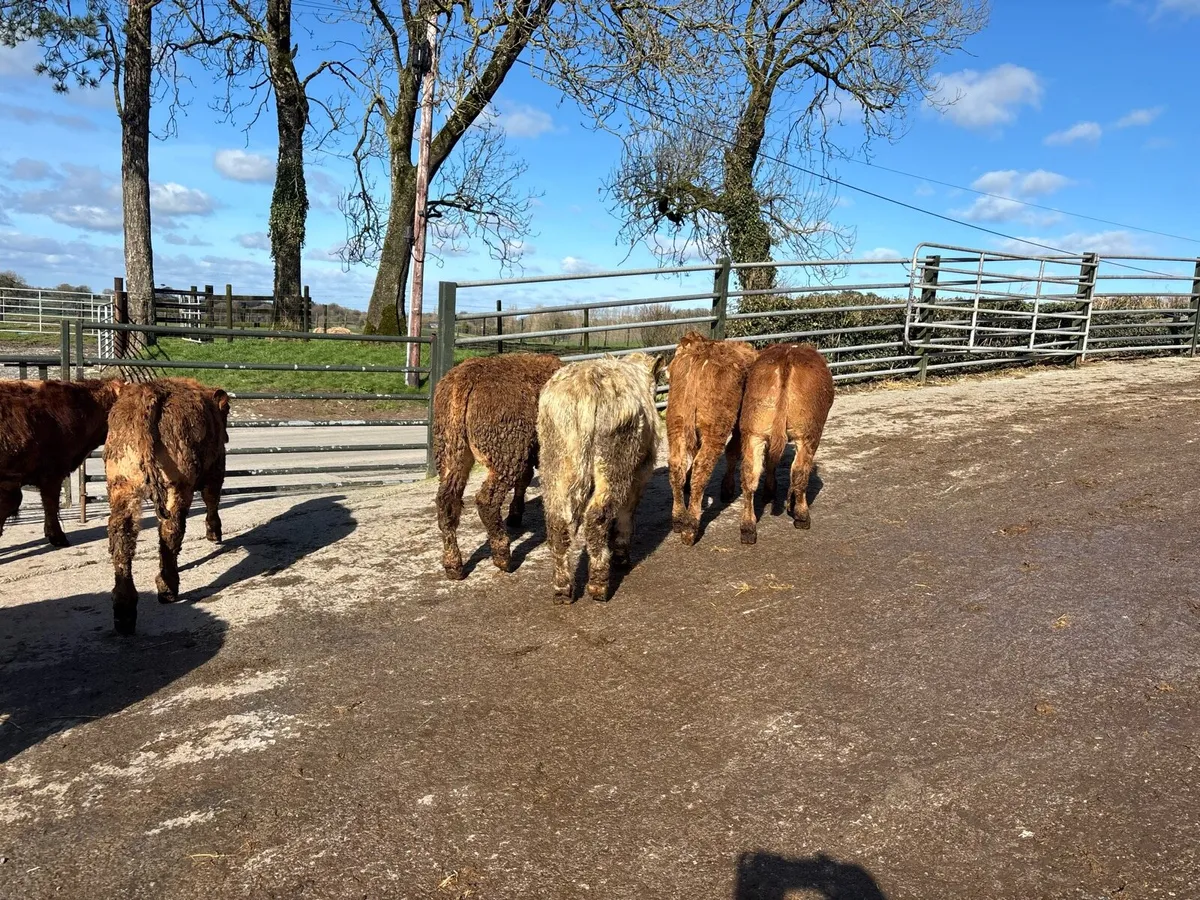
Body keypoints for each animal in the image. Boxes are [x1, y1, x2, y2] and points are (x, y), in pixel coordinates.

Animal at [105, 378, 229, 634]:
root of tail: (149, 391)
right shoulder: (216, 467)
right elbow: (212, 500)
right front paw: (214, 533)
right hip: (177, 484)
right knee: (171, 529)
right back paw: (168, 588)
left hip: (121, 481)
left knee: (121, 533)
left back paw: (124, 611)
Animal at [433, 353, 562, 580]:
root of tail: (465, 378)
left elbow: (525, 480)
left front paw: (515, 515)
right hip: (506, 450)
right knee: (487, 500)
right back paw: (503, 556)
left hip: (451, 448)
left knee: (446, 500)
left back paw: (453, 565)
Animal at [537, 352, 664, 602]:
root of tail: (587, 384)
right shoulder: (639, 473)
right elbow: (626, 514)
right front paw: (621, 555)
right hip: (613, 461)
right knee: (597, 516)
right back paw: (598, 585)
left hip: (556, 461)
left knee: (558, 522)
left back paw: (563, 589)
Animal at [665, 331, 758, 546]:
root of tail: (700, 353)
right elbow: (733, 452)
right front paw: (727, 489)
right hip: (715, 431)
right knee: (702, 467)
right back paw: (690, 528)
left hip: (676, 424)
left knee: (676, 465)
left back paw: (678, 518)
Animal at [737, 343, 834, 545]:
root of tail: (787, 356)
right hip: (808, 434)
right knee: (799, 471)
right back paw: (802, 516)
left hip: (753, 432)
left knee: (750, 474)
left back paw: (748, 528)